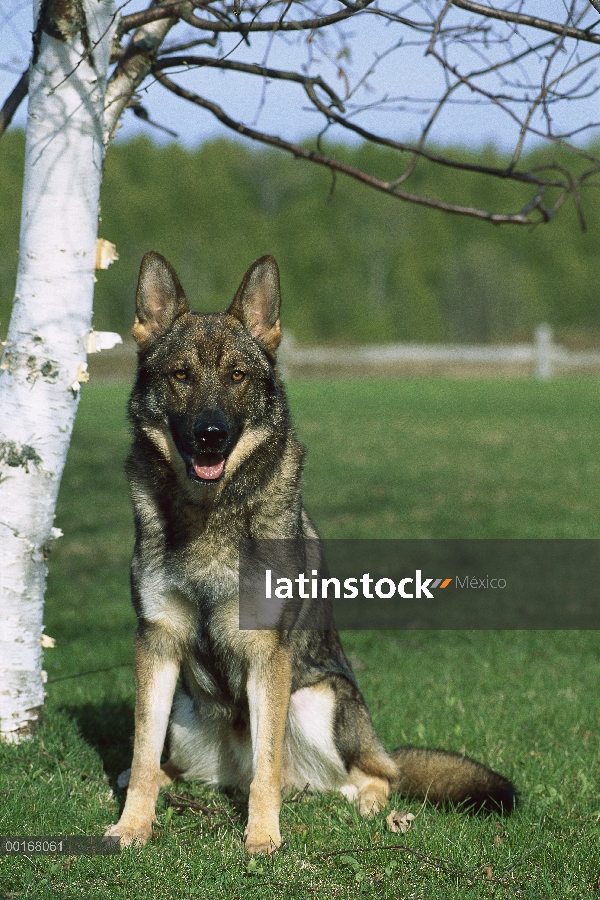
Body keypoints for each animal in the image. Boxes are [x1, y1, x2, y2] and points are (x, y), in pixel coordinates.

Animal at [109, 251, 516, 852]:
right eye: (181, 375)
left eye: (236, 376)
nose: (211, 435)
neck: (208, 514)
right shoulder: (157, 645)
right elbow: (141, 755)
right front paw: (130, 827)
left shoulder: (268, 655)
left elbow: (268, 767)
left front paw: (262, 840)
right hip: (186, 711)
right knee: (183, 768)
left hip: (316, 699)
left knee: (366, 776)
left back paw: (370, 806)